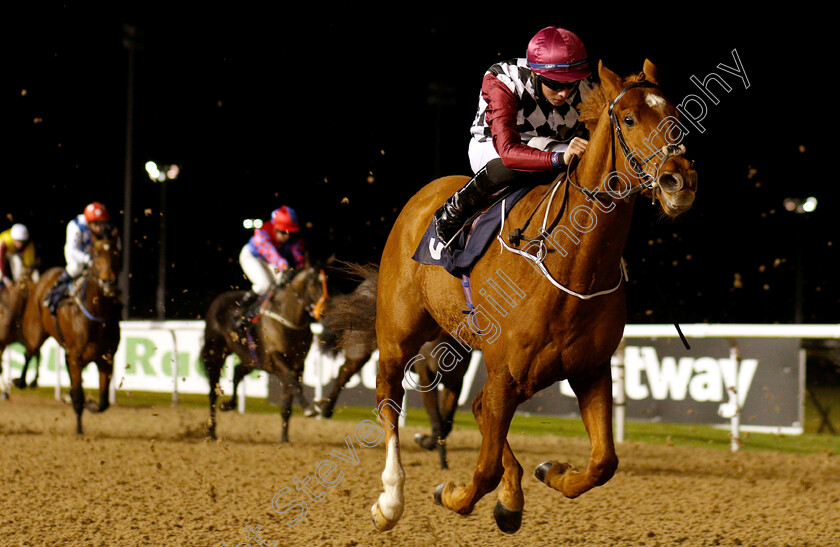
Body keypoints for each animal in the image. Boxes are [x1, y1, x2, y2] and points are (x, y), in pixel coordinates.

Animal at [22, 229, 123, 434]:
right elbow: (78, 397)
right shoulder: (77, 357)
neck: (96, 313)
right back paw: (22, 381)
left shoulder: (106, 358)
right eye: (96, 254)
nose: (108, 282)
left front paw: (91, 405)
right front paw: (78, 428)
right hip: (35, 330)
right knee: (30, 351)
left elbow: (103, 403)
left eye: (117, 253)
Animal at [203, 268, 328, 444]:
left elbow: (289, 397)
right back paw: (212, 432)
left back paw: (228, 405)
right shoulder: (276, 358)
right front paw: (309, 408)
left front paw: (284, 439)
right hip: (216, 353)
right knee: (213, 393)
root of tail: (217, 301)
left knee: (237, 372)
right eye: (313, 284)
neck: (288, 319)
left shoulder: (297, 364)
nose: (325, 310)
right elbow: (293, 383)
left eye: (327, 282)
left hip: (250, 359)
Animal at [370, 61, 700, 536]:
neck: (571, 265)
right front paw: (451, 494)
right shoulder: (506, 373)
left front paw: (550, 473)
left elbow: (604, 462)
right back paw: (391, 499)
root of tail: (423, 197)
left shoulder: (589, 370)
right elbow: (485, 468)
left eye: (674, 115)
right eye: (630, 119)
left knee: (475, 406)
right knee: (389, 398)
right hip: (398, 334)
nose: (680, 180)